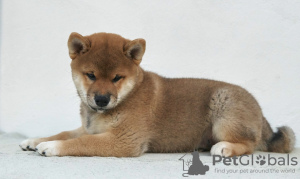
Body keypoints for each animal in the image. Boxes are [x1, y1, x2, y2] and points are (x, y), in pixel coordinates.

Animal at [19, 31, 296, 157]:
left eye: (117, 78)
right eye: (91, 75)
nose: (101, 100)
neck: (127, 97)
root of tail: (261, 113)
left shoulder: (124, 140)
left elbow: (81, 142)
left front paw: (51, 146)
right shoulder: (90, 128)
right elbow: (66, 132)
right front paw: (35, 139)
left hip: (224, 109)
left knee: (249, 145)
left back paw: (224, 148)